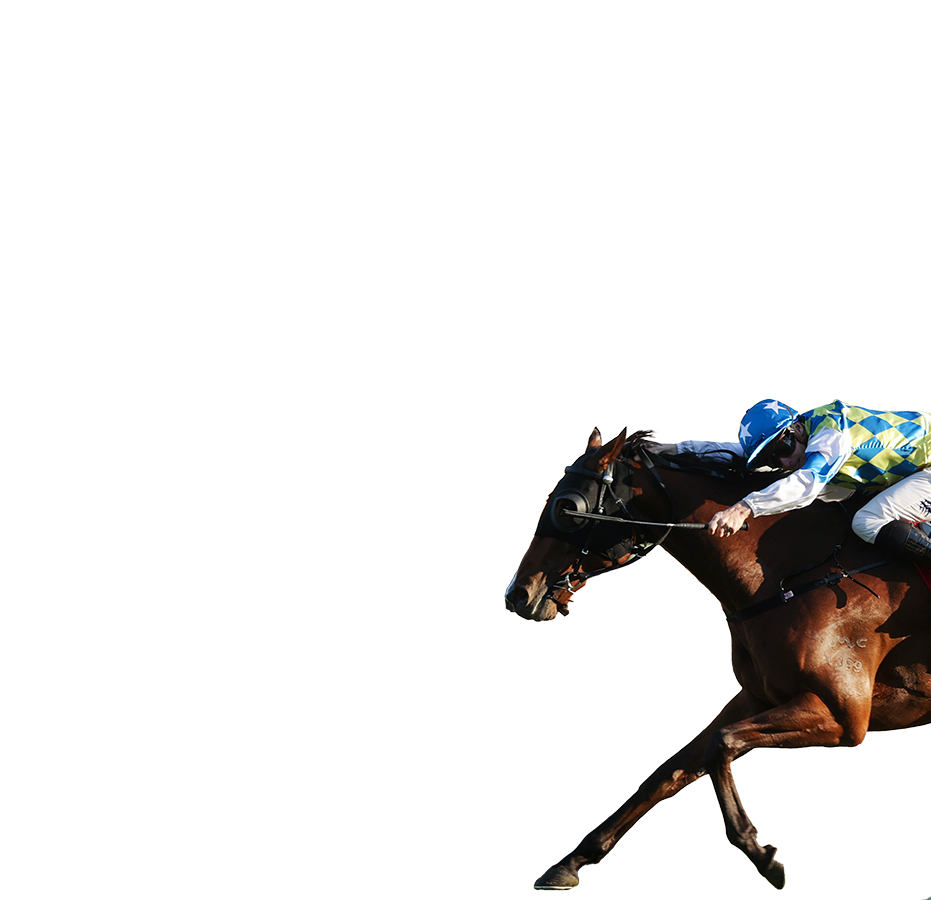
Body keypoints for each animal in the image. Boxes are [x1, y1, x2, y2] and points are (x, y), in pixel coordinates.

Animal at [505, 426, 931, 889]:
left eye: (568, 508)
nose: (519, 593)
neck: (791, 572)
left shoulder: (843, 714)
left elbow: (719, 745)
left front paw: (761, 852)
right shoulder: (758, 697)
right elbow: (670, 770)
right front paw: (570, 861)